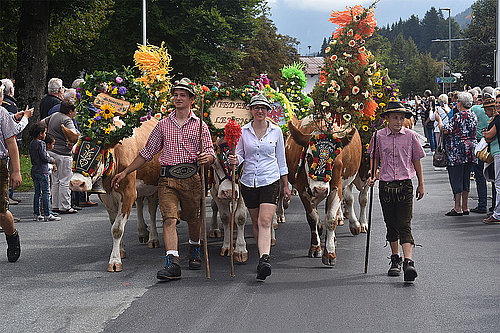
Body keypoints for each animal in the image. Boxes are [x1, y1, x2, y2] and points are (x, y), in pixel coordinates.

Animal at [66, 118, 160, 272]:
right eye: (73, 153)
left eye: (98, 156)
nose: (76, 183)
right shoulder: (107, 198)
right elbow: (113, 223)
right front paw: (121, 251)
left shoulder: (128, 193)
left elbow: (117, 229)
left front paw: (115, 261)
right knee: (140, 203)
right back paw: (142, 232)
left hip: (154, 187)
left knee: (152, 210)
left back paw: (153, 238)